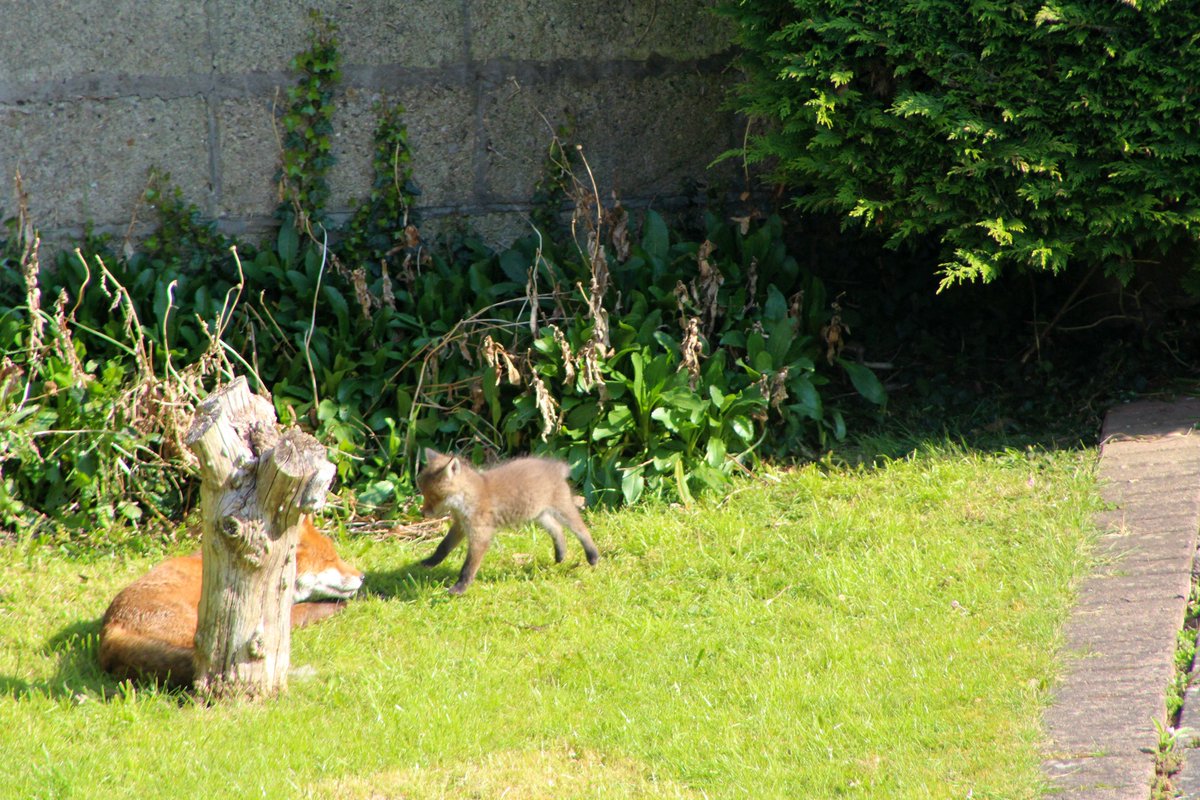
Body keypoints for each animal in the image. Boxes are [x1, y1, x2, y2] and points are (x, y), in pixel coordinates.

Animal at [98, 516, 363, 687]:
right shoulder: (272, 615)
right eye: (331, 560)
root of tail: (109, 632)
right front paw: (338, 606)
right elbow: (308, 609)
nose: (362, 576)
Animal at [416, 448, 599, 595]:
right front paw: (428, 563)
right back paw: (560, 555)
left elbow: (468, 567)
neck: (466, 499)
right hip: (538, 514)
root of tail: (555, 468)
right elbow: (443, 547)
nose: (422, 512)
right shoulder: (460, 526)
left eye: (433, 496)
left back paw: (592, 556)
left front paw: (459, 588)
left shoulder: (480, 535)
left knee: (582, 529)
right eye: (423, 493)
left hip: (562, 509)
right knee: (557, 529)